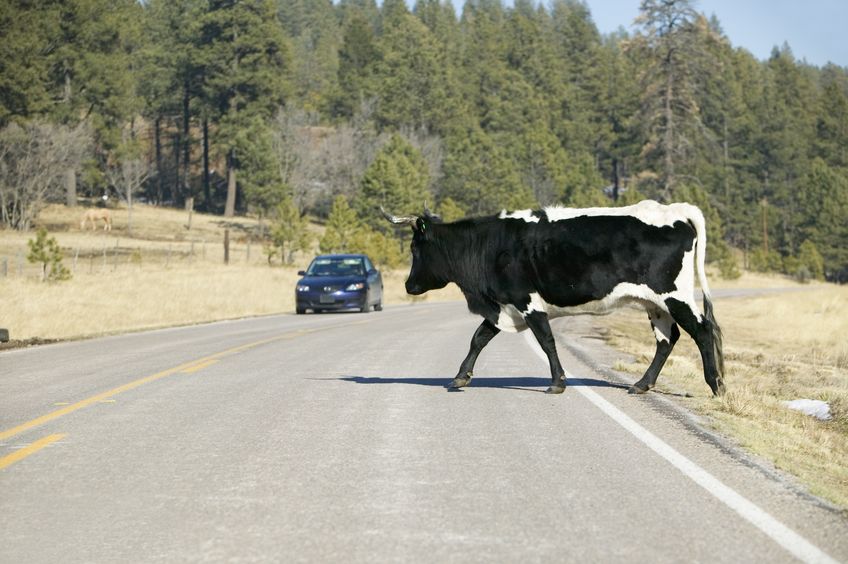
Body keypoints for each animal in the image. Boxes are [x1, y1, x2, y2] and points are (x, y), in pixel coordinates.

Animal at [382, 198, 724, 396]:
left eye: (415, 248)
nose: (409, 286)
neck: (489, 246)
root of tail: (675, 209)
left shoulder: (526, 301)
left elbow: (545, 340)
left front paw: (558, 382)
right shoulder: (504, 305)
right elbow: (479, 338)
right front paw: (460, 377)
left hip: (674, 295)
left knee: (702, 330)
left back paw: (716, 384)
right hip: (655, 303)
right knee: (668, 339)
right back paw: (642, 384)